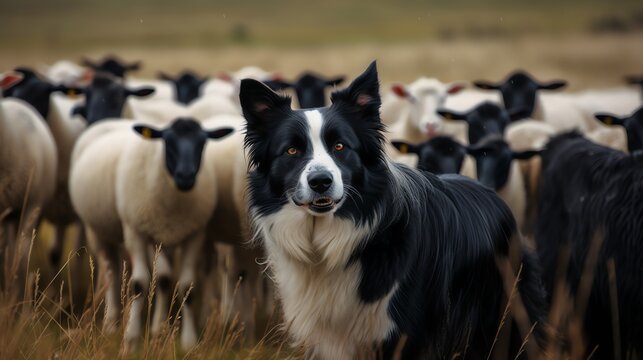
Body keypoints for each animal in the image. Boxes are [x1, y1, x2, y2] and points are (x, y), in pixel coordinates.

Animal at [242, 62, 548, 360]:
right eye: (291, 151)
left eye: (340, 146)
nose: (320, 182)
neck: (329, 242)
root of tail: (489, 193)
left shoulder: (403, 335)